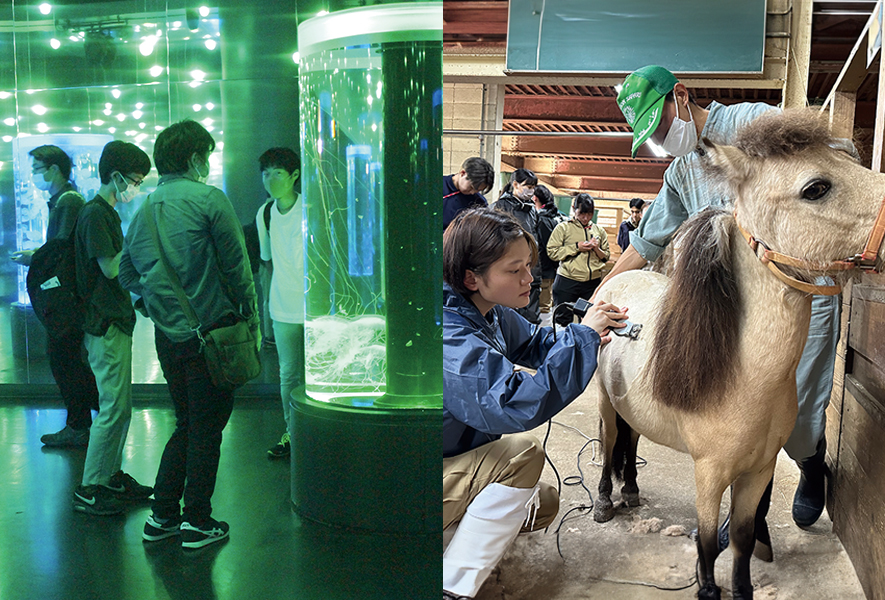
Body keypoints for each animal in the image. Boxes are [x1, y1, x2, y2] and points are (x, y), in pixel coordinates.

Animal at [592, 109, 885, 600]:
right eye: (816, 187)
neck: (746, 375)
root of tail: (609, 289)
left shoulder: (758, 470)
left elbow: (745, 538)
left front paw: (743, 587)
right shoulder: (710, 473)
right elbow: (709, 542)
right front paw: (709, 588)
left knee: (631, 443)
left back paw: (630, 489)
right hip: (604, 404)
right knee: (612, 441)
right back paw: (604, 501)